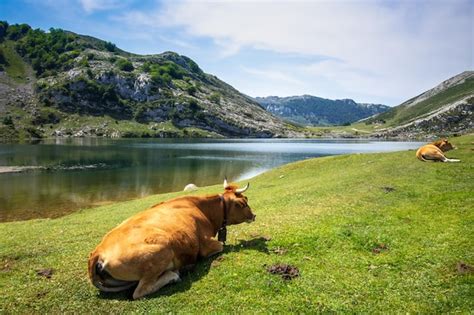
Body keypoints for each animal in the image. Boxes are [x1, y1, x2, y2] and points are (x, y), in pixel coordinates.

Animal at [88, 179, 256, 300]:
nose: (254, 215)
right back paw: (173, 275)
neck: (204, 210)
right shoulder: (206, 244)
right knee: (140, 291)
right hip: (162, 251)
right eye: (242, 203)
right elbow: (221, 245)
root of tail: (98, 252)